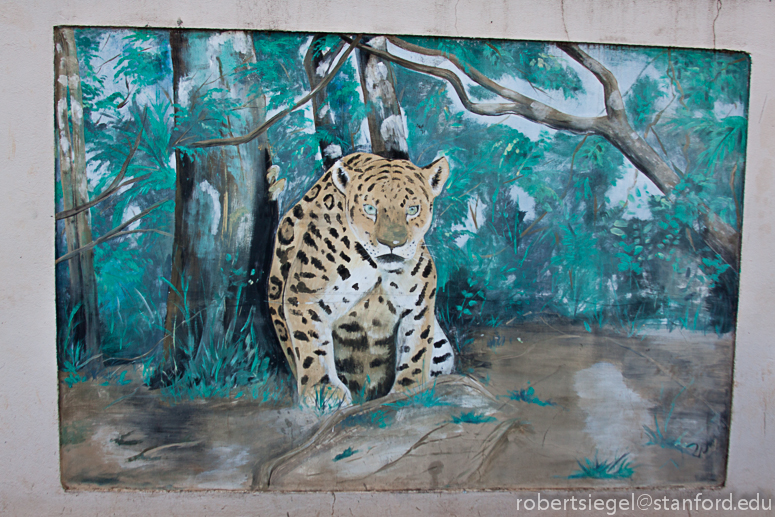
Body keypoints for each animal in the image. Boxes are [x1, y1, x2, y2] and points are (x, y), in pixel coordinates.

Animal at [267, 152, 456, 408]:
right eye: (369, 209)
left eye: (413, 209)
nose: (393, 244)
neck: (375, 268)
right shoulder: (304, 293)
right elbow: (312, 346)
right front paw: (322, 389)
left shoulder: (418, 304)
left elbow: (415, 351)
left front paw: (410, 391)